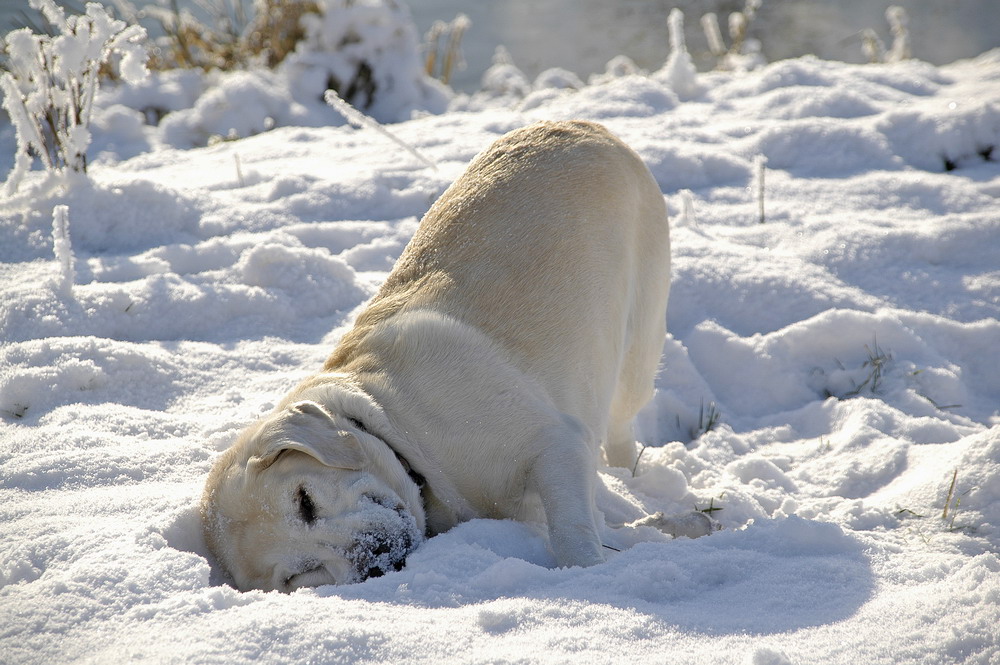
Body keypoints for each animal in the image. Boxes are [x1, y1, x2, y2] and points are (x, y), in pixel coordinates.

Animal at [203, 120, 688, 592]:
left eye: (304, 501)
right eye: (297, 575)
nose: (374, 561)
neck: (401, 429)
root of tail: (583, 126)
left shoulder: (554, 441)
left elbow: (571, 530)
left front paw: (591, 572)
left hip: (639, 338)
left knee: (622, 424)